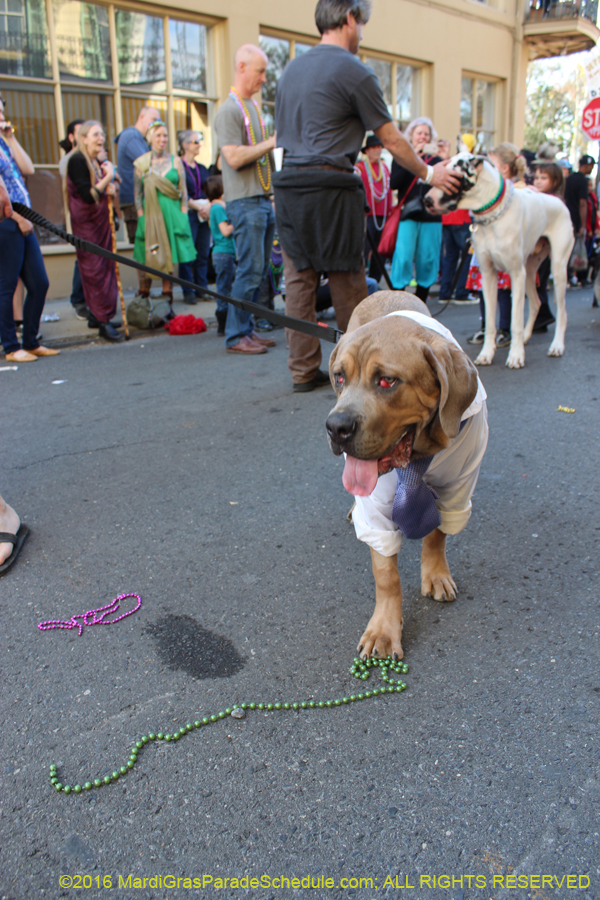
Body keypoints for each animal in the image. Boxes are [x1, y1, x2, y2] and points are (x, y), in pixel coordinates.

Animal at [324, 292, 488, 656]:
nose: (336, 427)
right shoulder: (376, 509)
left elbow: (437, 533)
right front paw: (384, 630)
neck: (418, 455)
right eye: (340, 377)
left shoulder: (458, 488)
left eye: (387, 381)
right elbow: (386, 575)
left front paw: (436, 574)